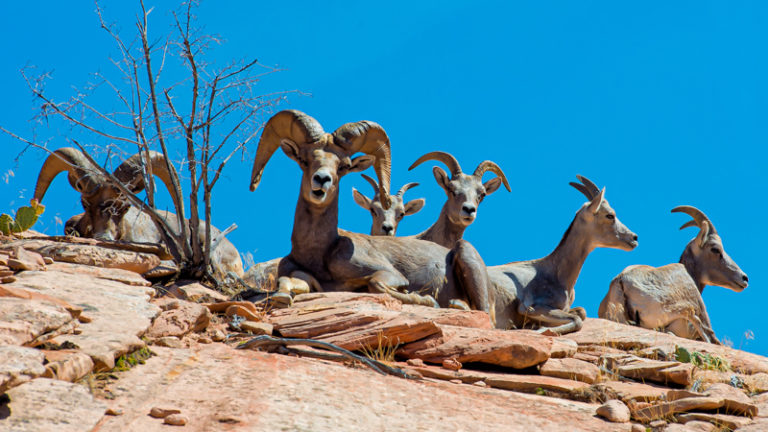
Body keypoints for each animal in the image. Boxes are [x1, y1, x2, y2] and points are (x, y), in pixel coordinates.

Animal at [249, 109, 496, 316]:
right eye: (303, 159)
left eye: (343, 166)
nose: (321, 180)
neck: (320, 252)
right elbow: (284, 281)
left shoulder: (390, 274)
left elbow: (375, 283)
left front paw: (423, 299)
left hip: (468, 259)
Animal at [488, 176, 640, 334]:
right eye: (610, 215)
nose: (634, 238)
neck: (556, 274)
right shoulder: (531, 307)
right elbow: (577, 320)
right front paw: (540, 329)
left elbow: (581, 312)